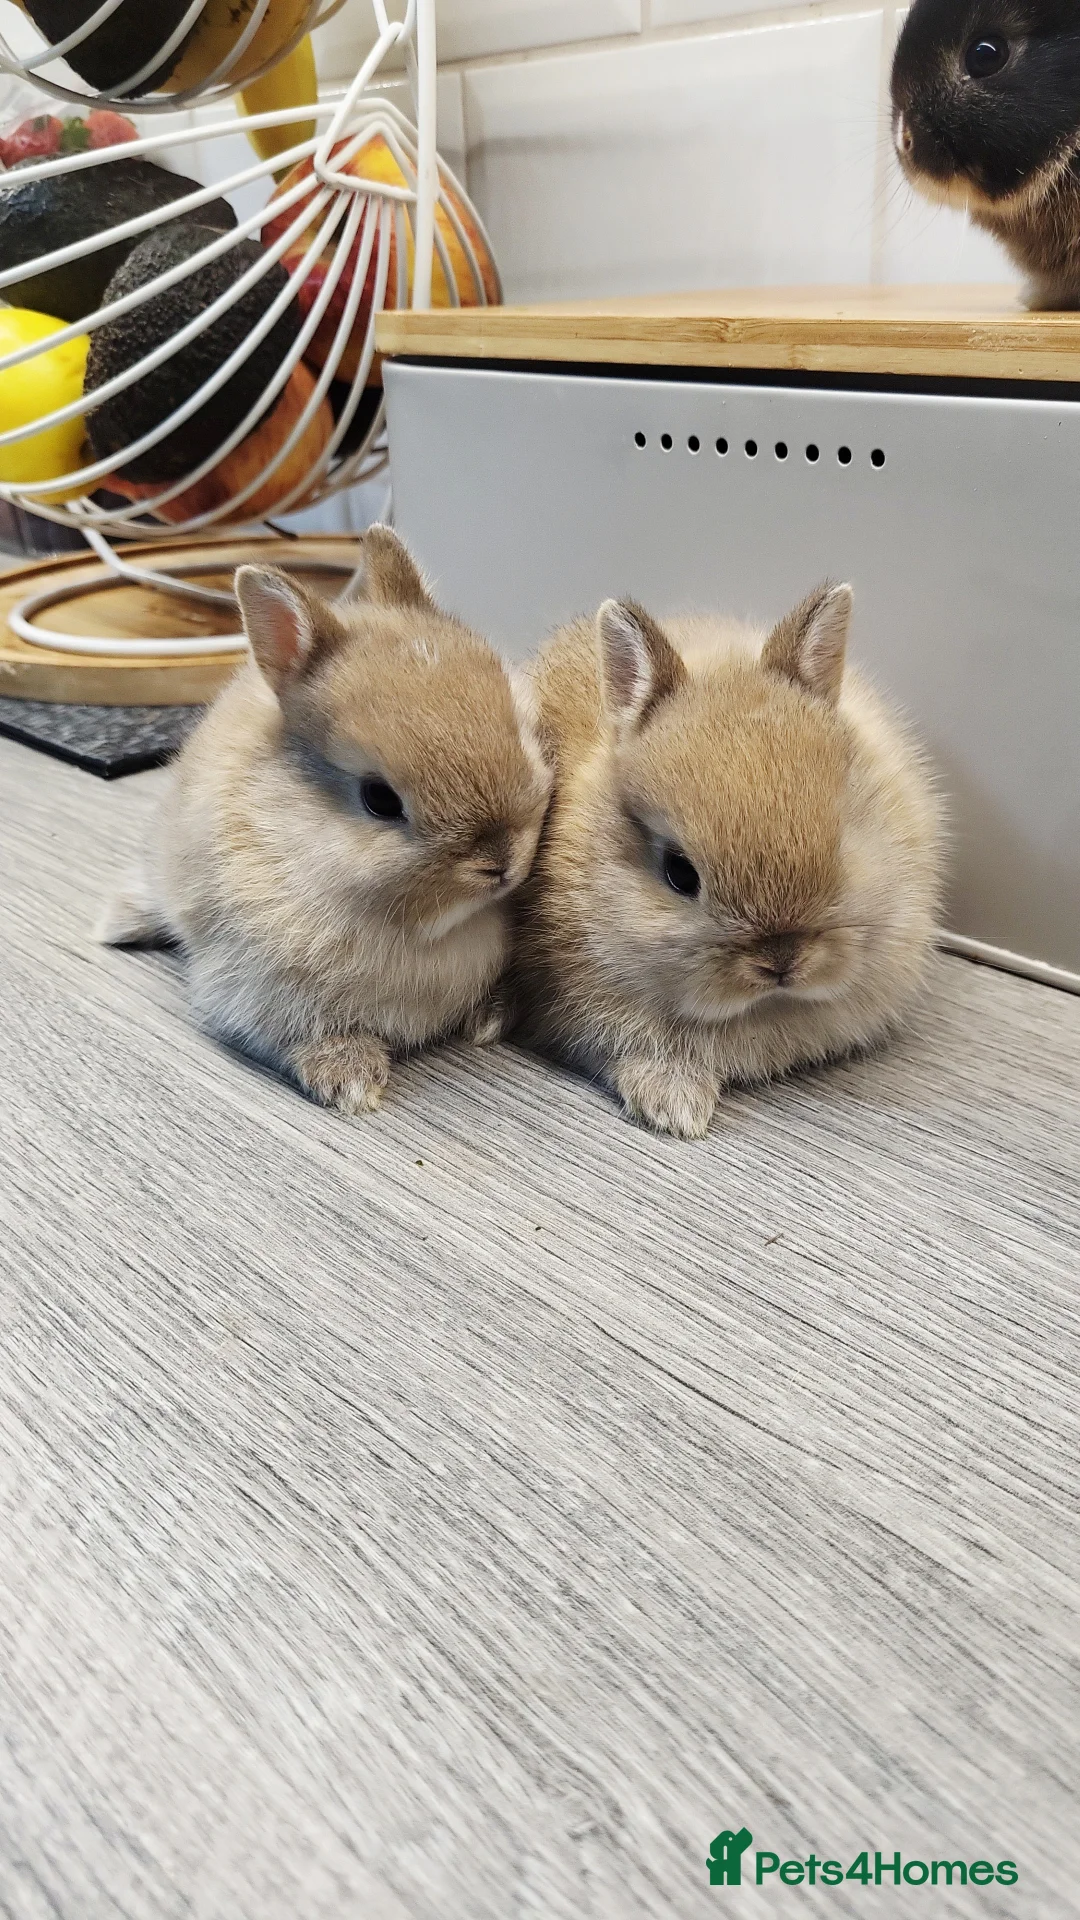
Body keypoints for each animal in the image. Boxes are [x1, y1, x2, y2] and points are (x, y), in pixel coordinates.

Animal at [97, 526, 551, 1114]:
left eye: (521, 730)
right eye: (379, 799)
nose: (500, 862)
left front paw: (488, 1022)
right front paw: (351, 1083)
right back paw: (116, 924)